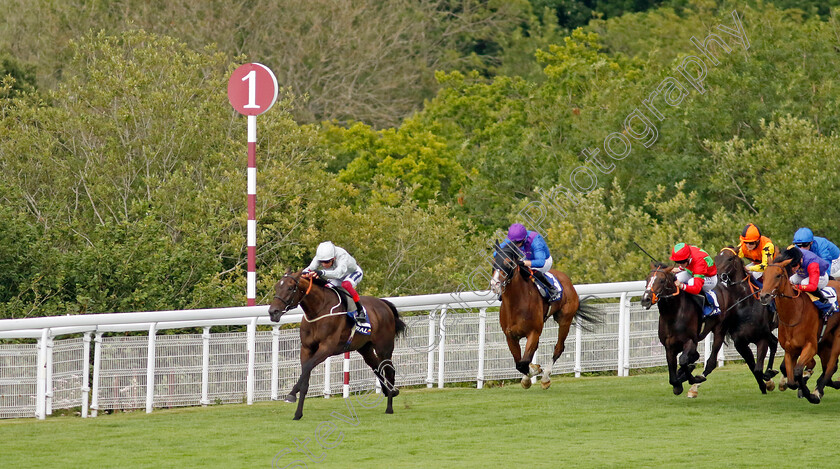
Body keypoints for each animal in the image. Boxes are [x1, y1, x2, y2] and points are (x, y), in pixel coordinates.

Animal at [266, 268, 404, 418]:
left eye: (290, 288)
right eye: (277, 287)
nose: (273, 312)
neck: (317, 311)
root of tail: (384, 304)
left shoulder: (326, 348)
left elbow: (307, 368)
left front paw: (291, 395)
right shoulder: (307, 348)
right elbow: (305, 377)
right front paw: (298, 413)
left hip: (384, 347)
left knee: (389, 370)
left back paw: (390, 405)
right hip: (365, 348)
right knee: (376, 367)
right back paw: (389, 392)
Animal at [488, 241, 600, 388]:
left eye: (509, 262)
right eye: (494, 262)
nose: (494, 285)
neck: (516, 304)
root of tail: (567, 281)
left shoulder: (533, 332)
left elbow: (523, 362)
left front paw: (535, 371)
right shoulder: (510, 336)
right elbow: (520, 363)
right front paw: (529, 374)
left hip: (564, 320)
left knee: (559, 348)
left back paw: (546, 377)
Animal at [640, 262, 724, 396]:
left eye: (662, 280)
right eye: (647, 279)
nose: (645, 299)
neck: (673, 315)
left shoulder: (690, 341)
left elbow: (683, 360)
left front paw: (693, 378)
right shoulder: (668, 346)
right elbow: (672, 370)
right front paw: (678, 383)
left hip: (720, 329)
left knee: (711, 358)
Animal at [716, 247, 780, 394]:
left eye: (730, 258)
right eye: (716, 258)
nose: (718, 276)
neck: (745, 304)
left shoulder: (761, 339)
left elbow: (758, 368)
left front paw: (768, 380)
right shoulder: (740, 343)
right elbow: (753, 368)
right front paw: (765, 385)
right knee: (774, 342)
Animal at [756, 249, 840, 402]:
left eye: (778, 275)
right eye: (764, 276)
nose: (764, 296)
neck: (793, 314)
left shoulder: (810, 346)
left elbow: (798, 371)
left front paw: (809, 394)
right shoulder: (790, 351)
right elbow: (791, 381)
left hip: (837, 337)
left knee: (831, 365)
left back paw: (817, 391)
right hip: (825, 342)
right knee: (829, 366)